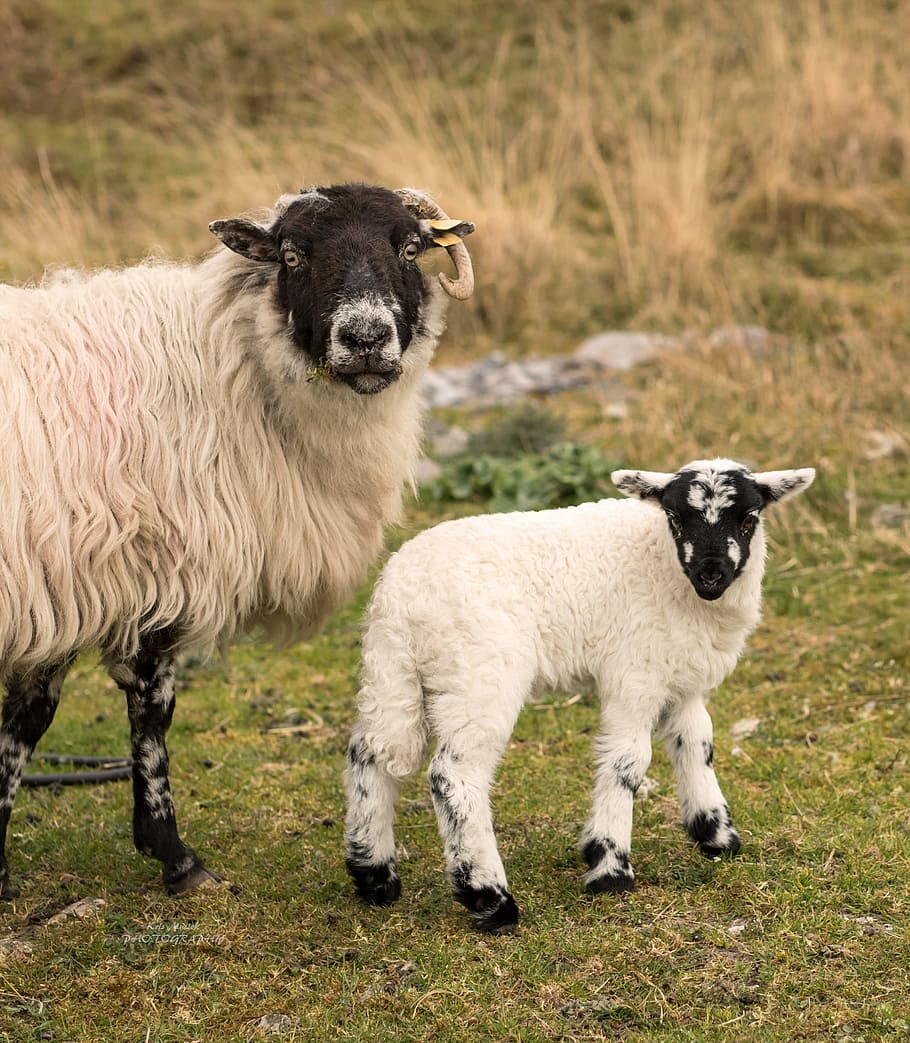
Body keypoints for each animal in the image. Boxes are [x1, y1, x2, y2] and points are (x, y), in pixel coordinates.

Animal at [0, 183, 475, 899]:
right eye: (292, 254)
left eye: (411, 248)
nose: (365, 339)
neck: (229, 367)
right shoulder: (149, 578)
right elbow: (149, 717)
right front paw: (175, 857)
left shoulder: (61, 590)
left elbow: (24, 726)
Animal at [344, 458, 815, 932]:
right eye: (676, 518)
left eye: (749, 518)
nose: (711, 573)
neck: (661, 563)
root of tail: (400, 596)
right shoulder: (635, 672)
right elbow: (628, 763)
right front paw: (610, 868)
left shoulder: (679, 675)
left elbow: (697, 743)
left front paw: (716, 834)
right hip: (478, 674)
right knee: (453, 776)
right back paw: (490, 898)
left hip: (396, 672)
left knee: (371, 753)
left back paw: (374, 875)